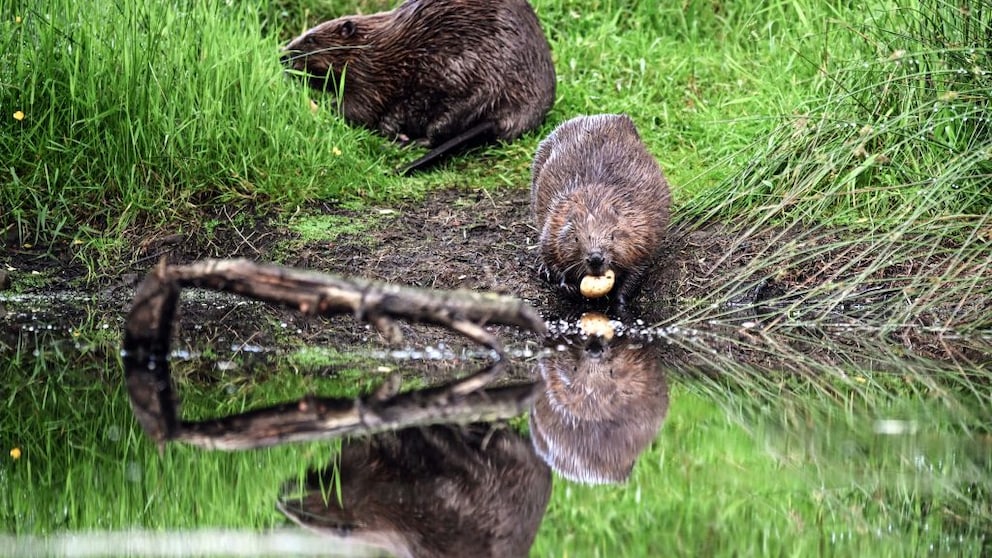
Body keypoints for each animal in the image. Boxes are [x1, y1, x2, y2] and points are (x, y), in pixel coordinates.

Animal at [282, 0, 556, 176]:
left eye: (310, 39)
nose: (282, 56)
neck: (371, 47)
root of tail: (510, 116)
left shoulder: (369, 77)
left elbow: (359, 110)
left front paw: (323, 107)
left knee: (438, 131)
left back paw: (406, 142)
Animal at [532, 112, 672, 308]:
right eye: (576, 238)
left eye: (612, 236)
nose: (596, 258)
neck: (594, 203)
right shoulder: (553, 224)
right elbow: (550, 256)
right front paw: (568, 286)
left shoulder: (642, 233)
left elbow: (637, 270)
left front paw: (619, 301)